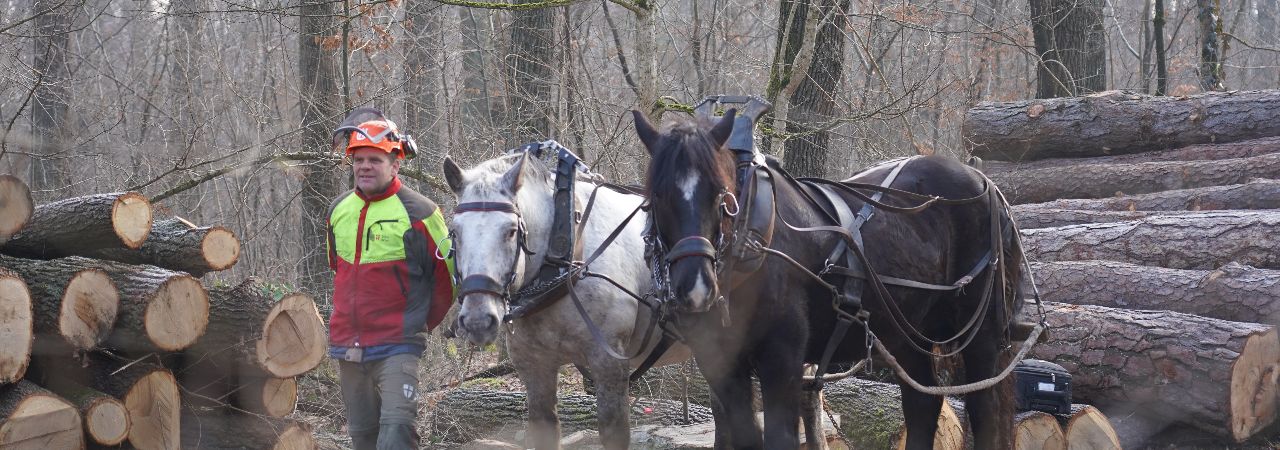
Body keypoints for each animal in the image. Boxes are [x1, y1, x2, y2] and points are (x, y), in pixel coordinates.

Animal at [634, 109, 1024, 450]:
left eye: (722, 195)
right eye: (657, 195)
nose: (696, 287)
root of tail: (984, 182)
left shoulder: (783, 358)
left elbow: (781, 439)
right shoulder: (720, 366)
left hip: (980, 332)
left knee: (984, 408)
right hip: (907, 334)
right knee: (923, 405)